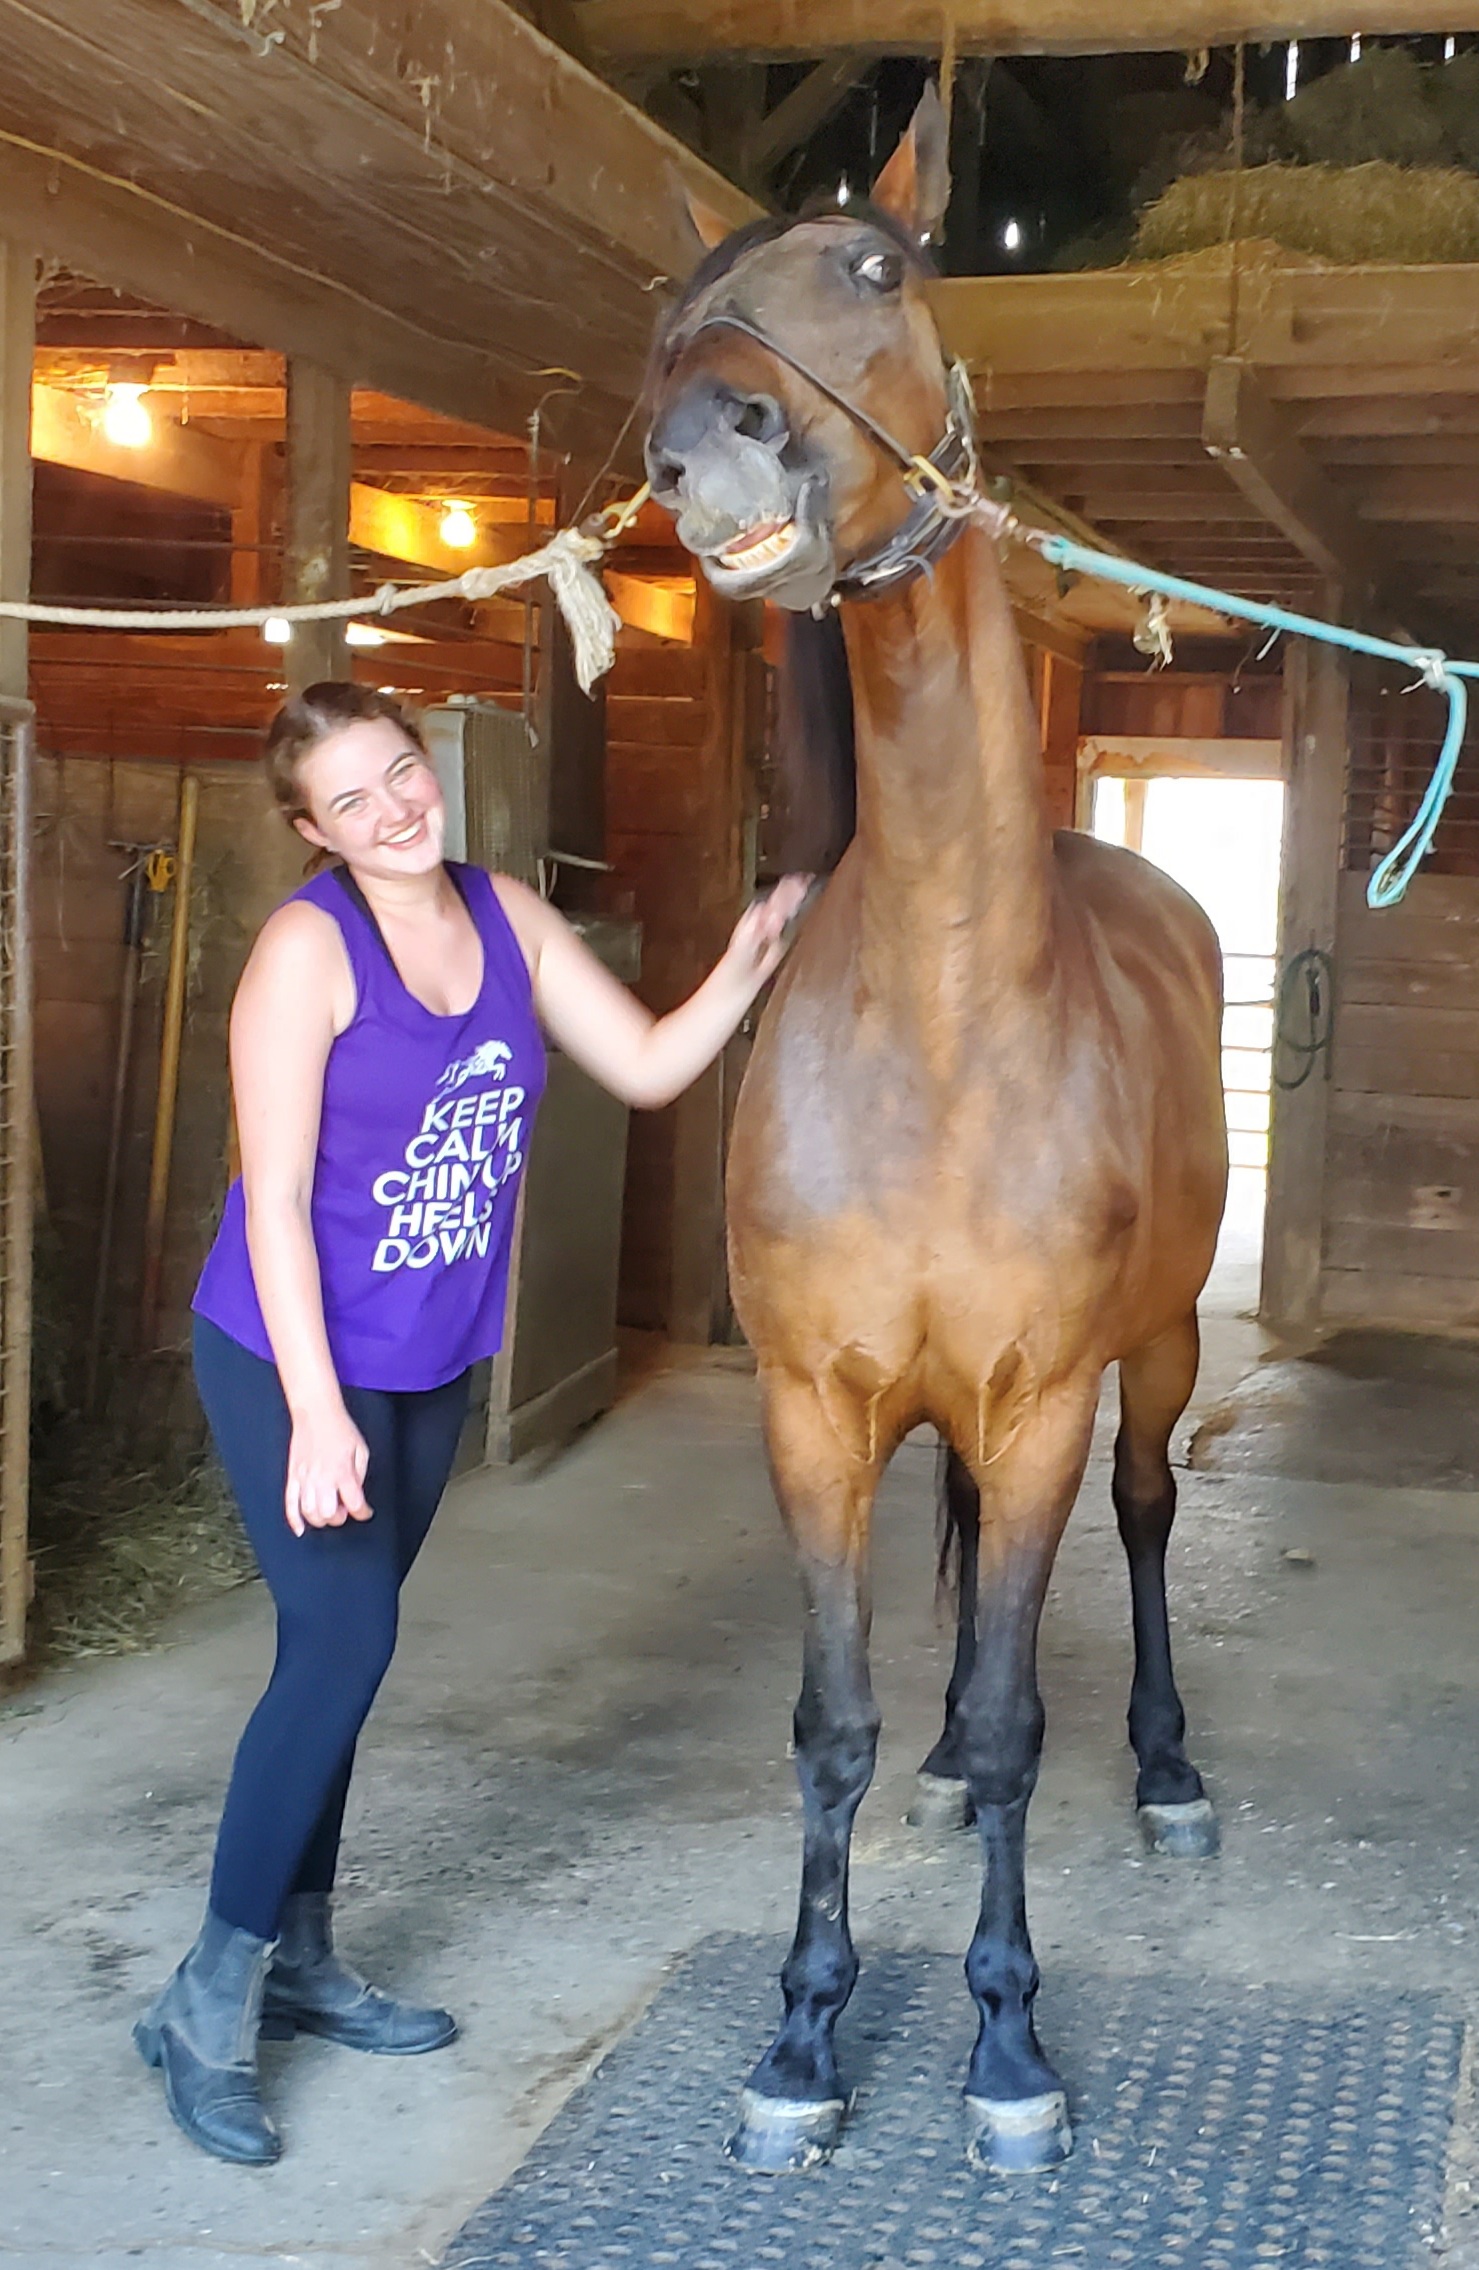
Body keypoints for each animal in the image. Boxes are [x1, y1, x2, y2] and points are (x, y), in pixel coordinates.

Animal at [644, 93, 1224, 2179]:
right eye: (676, 305)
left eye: (875, 267)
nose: (702, 440)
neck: (944, 1012)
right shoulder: (814, 1409)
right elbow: (835, 1723)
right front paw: (803, 2039)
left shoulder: (1042, 1392)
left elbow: (1013, 1714)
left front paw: (1004, 2049)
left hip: (1154, 1352)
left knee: (1138, 1527)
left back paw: (1167, 1770)